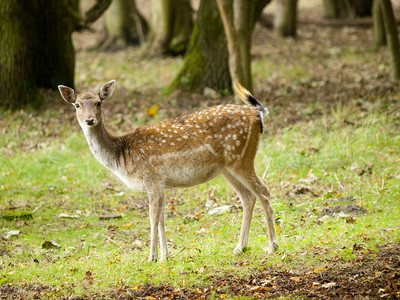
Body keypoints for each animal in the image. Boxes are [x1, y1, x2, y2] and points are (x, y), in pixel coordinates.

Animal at [57, 80, 280, 262]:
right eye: (77, 105)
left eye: (99, 103)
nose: (89, 120)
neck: (122, 155)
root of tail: (257, 114)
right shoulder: (161, 183)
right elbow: (163, 218)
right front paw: (165, 256)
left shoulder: (152, 178)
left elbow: (153, 218)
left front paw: (151, 257)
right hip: (228, 167)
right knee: (248, 197)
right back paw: (240, 247)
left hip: (241, 158)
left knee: (264, 192)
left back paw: (272, 247)